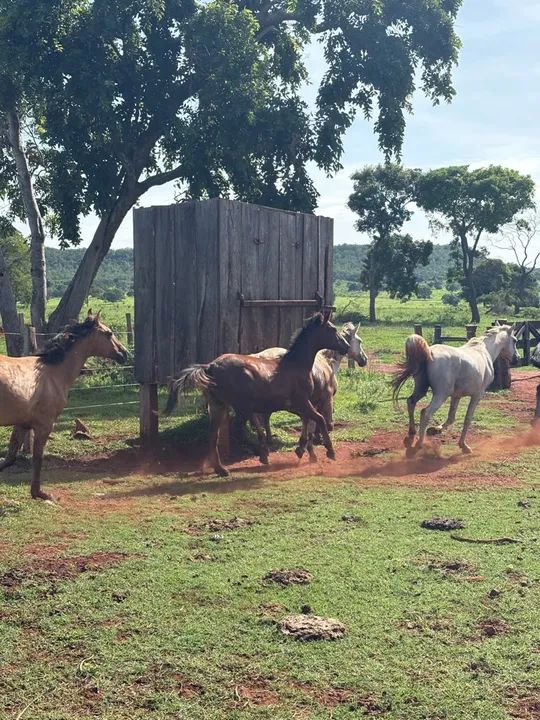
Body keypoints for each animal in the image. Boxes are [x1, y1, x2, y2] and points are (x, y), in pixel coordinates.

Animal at [0, 311, 128, 500]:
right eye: (109, 333)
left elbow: (9, 458)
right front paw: (40, 493)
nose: (124, 353)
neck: (52, 372)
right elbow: (37, 459)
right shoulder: (44, 425)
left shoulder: (22, 424)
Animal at [164, 311, 349, 476]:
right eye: (332, 329)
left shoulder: (299, 405)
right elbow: (319, 419)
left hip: (219, 405)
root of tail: (210, 366)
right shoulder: (302, 402)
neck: (296, 365)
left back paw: (222, 469)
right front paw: (329, 451)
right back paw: (261, 454)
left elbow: (309, 422)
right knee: (239, 430)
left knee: (214, 435)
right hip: (241, 406)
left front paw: (303, 449)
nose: (346, 347)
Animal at [392, 325, 519, 456]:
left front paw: (435, 430)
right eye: (515, 340)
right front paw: (464, 446)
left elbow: (451, 417)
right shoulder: (477, 395)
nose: (516, 359)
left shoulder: (456, 396)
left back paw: (412, 432)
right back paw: (419, 443)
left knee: (411, 402)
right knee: (425, 412)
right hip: (441, 395)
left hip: (421, 389)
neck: (484, 351)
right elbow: (467, 419)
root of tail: (429, 353)